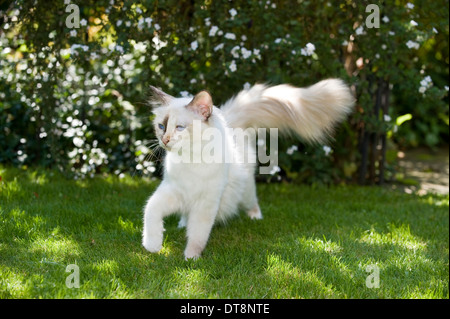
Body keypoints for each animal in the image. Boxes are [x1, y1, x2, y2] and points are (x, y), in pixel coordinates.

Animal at [142, 79, 354, 260]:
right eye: (161, 126)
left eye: (179, 127)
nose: (164, 140)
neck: (189, 159)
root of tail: (232, 126)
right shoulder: (171, 192)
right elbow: (150, 212)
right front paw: (152, 246)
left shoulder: (205, 205)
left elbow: (197, 237)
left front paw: (190, 259)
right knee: (184, 216)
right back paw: (181, 224)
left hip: (245, 193)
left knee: (253, 203)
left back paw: (255, 218)